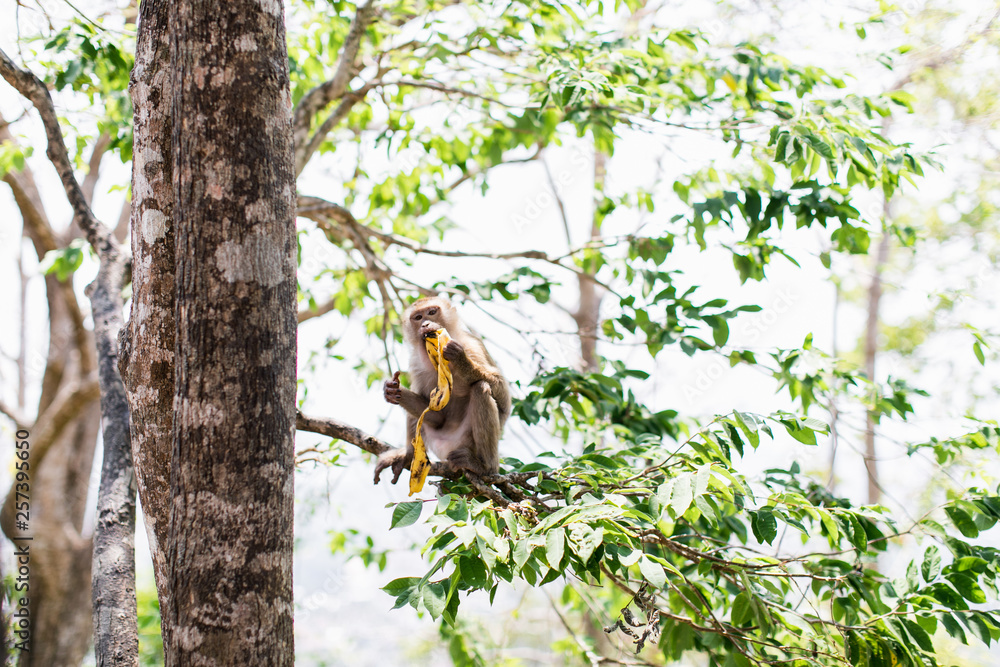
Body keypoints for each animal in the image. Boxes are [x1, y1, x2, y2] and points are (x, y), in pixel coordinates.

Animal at [374, 296, 511, 485]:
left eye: (432, 312)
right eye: (418, 317)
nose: (425, 324)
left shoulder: (472, 345)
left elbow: (503, 397)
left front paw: (461, 360)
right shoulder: (416, 364)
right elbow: (436, 416)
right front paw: (393, 390)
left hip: (466, 442)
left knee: (481, 388)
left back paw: (485, 467)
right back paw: (408, 454)